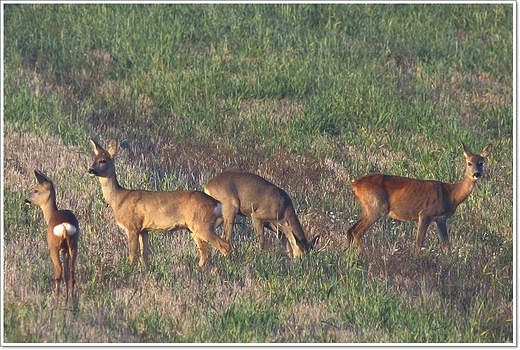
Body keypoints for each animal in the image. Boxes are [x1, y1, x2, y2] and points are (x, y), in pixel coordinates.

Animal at [24, 170, 78, 300]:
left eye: (36, 190)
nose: (26, 200)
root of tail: (64, 226)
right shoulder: (65, 250)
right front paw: (67, 296)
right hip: (73, 245)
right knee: (71, 271)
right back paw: (71, 299)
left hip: (53, 247)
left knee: (59, 270)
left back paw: (56, 298)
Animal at [88, 138, 231, 266]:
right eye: (93, 159)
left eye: (102, 160)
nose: (90, 170)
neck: (118, 200)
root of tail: (217, 203)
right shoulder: (144, 229)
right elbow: (144, 255)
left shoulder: (132, 226)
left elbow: (132, 255)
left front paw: (129, 270)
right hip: (194, 229)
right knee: (205, 253)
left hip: (202, 225)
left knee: (224, 245)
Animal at [348, 142, 494, 254]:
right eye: (469, 163)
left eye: (481, 163)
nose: (477, 174)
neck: (451, 195)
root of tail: (355, 183)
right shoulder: (425, 214)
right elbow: (419, 243)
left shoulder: (440, 219)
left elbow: (447, 246)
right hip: (377, 206)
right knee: (356, 231)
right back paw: (365, 255)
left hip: (368, 207)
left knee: (350, 229)